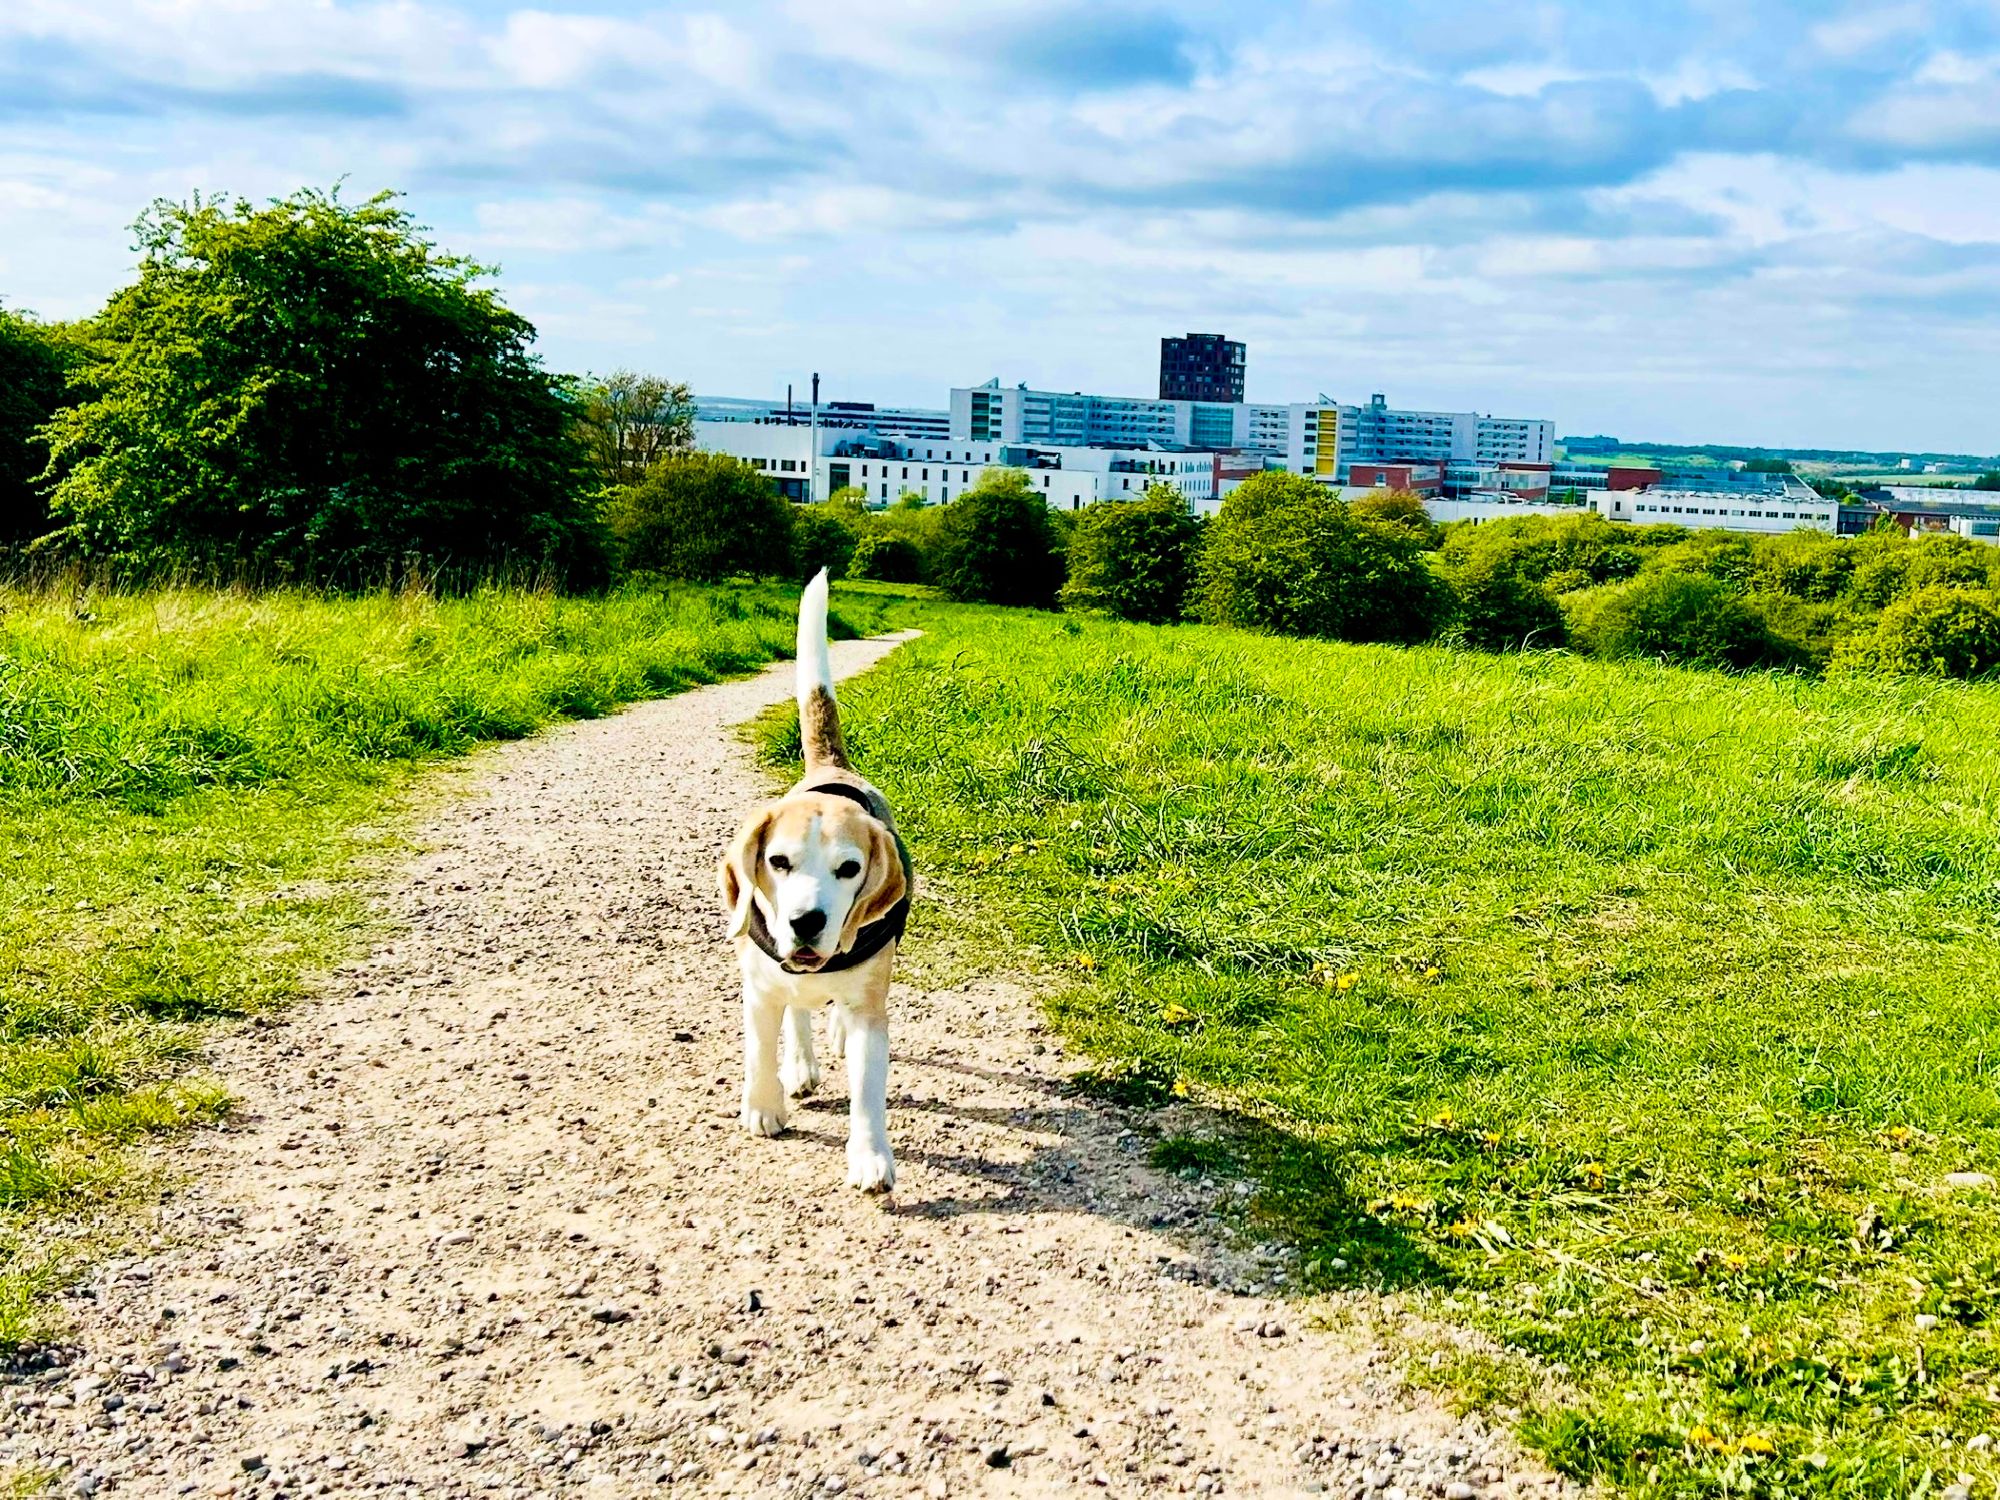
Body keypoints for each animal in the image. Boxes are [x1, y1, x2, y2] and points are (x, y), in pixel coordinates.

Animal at [717, 569, 911, 1191]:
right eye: (778, 862)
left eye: (849, 869)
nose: (807, 922)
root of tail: (830, 769)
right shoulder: (758, 990)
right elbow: (760, 1051)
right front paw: (763, 1107)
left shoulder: (872, 1012)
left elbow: (868, 1090)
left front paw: (871, 1156)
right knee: (797, 1012)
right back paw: (799, 1063)